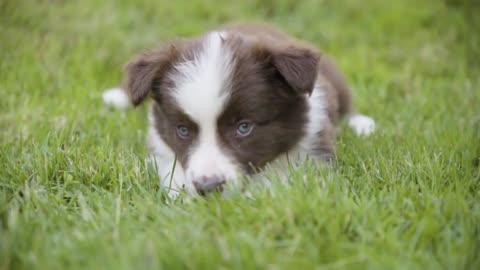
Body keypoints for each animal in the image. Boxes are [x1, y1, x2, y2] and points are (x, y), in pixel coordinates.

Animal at [104, 22, 376, 196]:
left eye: (244, 127)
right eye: (182, 130)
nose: (208, 188)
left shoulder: (316, 150)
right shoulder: (161, 148)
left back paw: (362, 125)